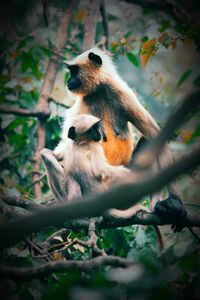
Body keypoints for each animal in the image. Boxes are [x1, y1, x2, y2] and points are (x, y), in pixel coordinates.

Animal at [41, 47, 188, 227]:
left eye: (74, 71)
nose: (69, 79)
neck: (98, 91)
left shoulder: (122, 93)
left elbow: (155, 135)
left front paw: (174, 203)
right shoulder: (81, 106)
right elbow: (64, 152)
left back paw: (158, 207)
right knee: (49, 156)